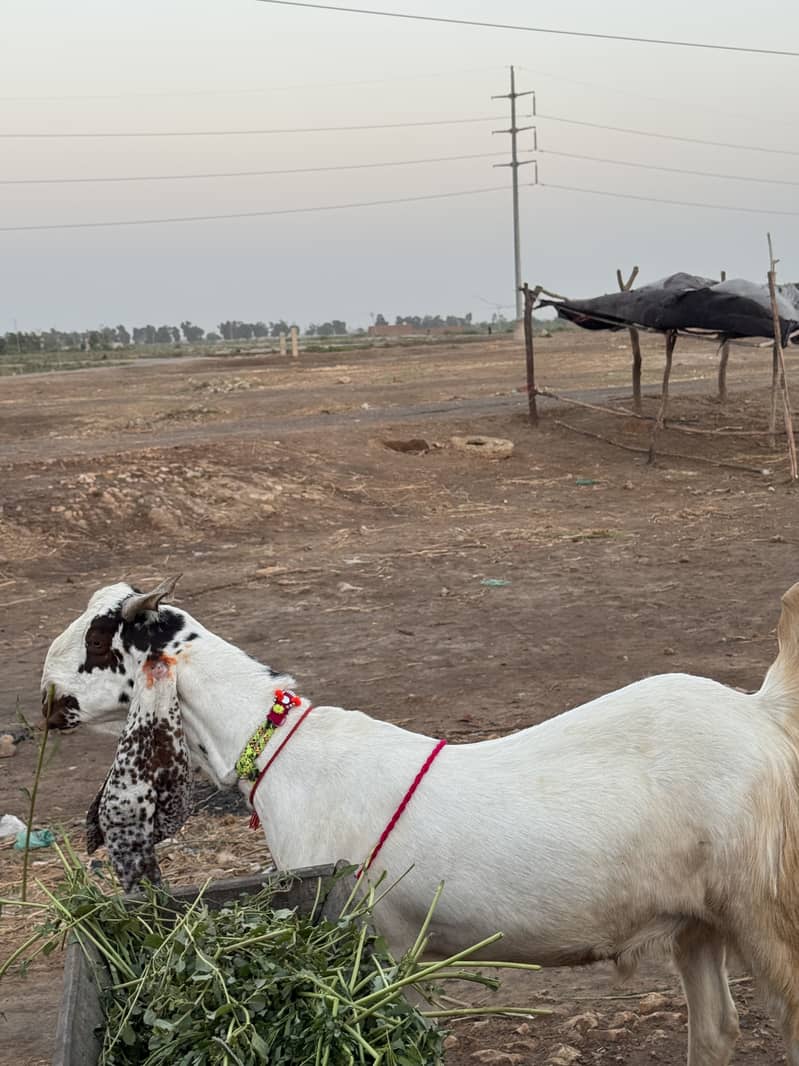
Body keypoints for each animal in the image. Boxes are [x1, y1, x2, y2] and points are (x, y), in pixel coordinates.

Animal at [41, 577, 799, 1066]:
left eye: (102, 637)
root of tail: (760, 710)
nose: (46, 698)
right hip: (698, 918)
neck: (279, 748)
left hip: (762, 907)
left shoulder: (369, 940)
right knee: (716, 1033)